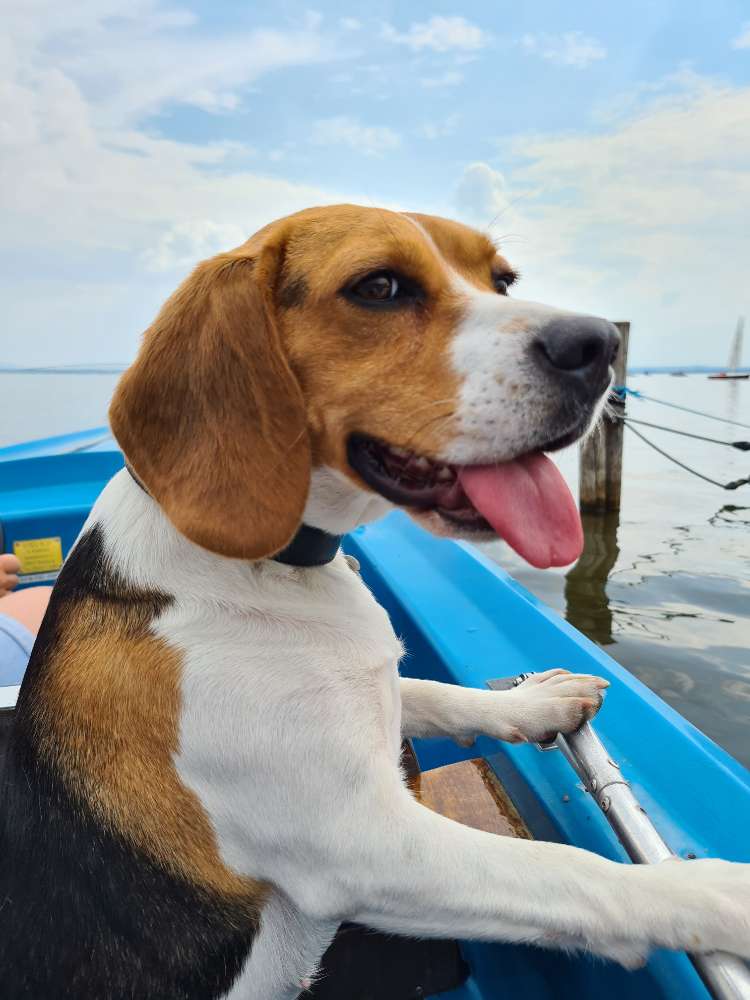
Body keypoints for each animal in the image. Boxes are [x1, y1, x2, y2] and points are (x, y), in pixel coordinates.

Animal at [1, 205, 750, 1000]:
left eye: (503, 280)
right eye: (380, 287)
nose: (599, 344)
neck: (273, 566)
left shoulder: (372, 699)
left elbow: (436, 692)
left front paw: (536, 701)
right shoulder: (363, 843)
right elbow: (570, 873)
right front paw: (713, 891)